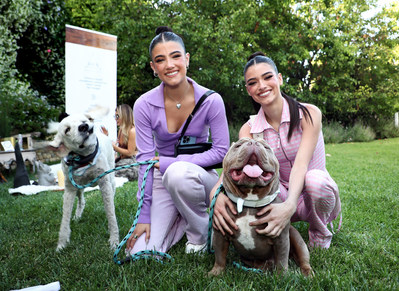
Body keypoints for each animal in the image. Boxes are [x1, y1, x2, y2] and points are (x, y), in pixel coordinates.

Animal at [48, 107, 119, 251]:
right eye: (67, 130)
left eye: (85, 120)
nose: (84, 126)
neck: (85, 159)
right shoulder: (69, 190)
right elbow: (65, 219)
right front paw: (62, 244)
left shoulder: (105, 183)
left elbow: (111, 213)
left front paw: (114, 241)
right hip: (78, 188)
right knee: (82, 200)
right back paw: (77, 215)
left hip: (111, 179)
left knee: (112, 193)